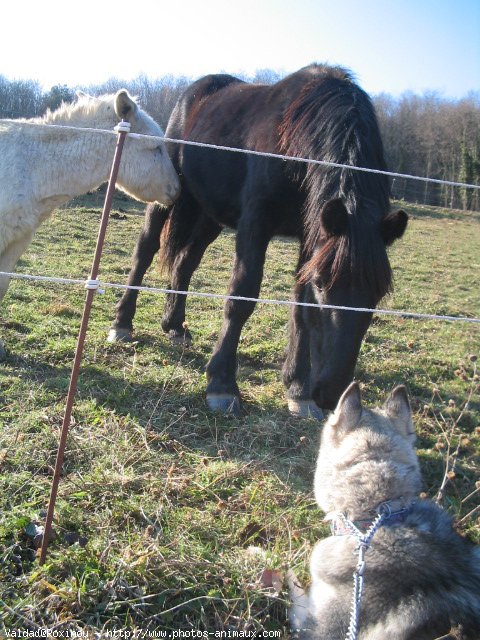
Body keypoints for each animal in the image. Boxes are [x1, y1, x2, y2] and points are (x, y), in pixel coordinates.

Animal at [109, 63, 408, 416]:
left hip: (209, 216)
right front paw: (222, 384)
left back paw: (175, 325)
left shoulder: (312, 235)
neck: (293, 141)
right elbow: (242, 295)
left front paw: (298, 387)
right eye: (323, 284)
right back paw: (122, 323)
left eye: (378, 293)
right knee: (145, 251)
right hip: (165, 198)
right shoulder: (255, 223)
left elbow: (300, 305)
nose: (331, 392)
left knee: (185, 263)